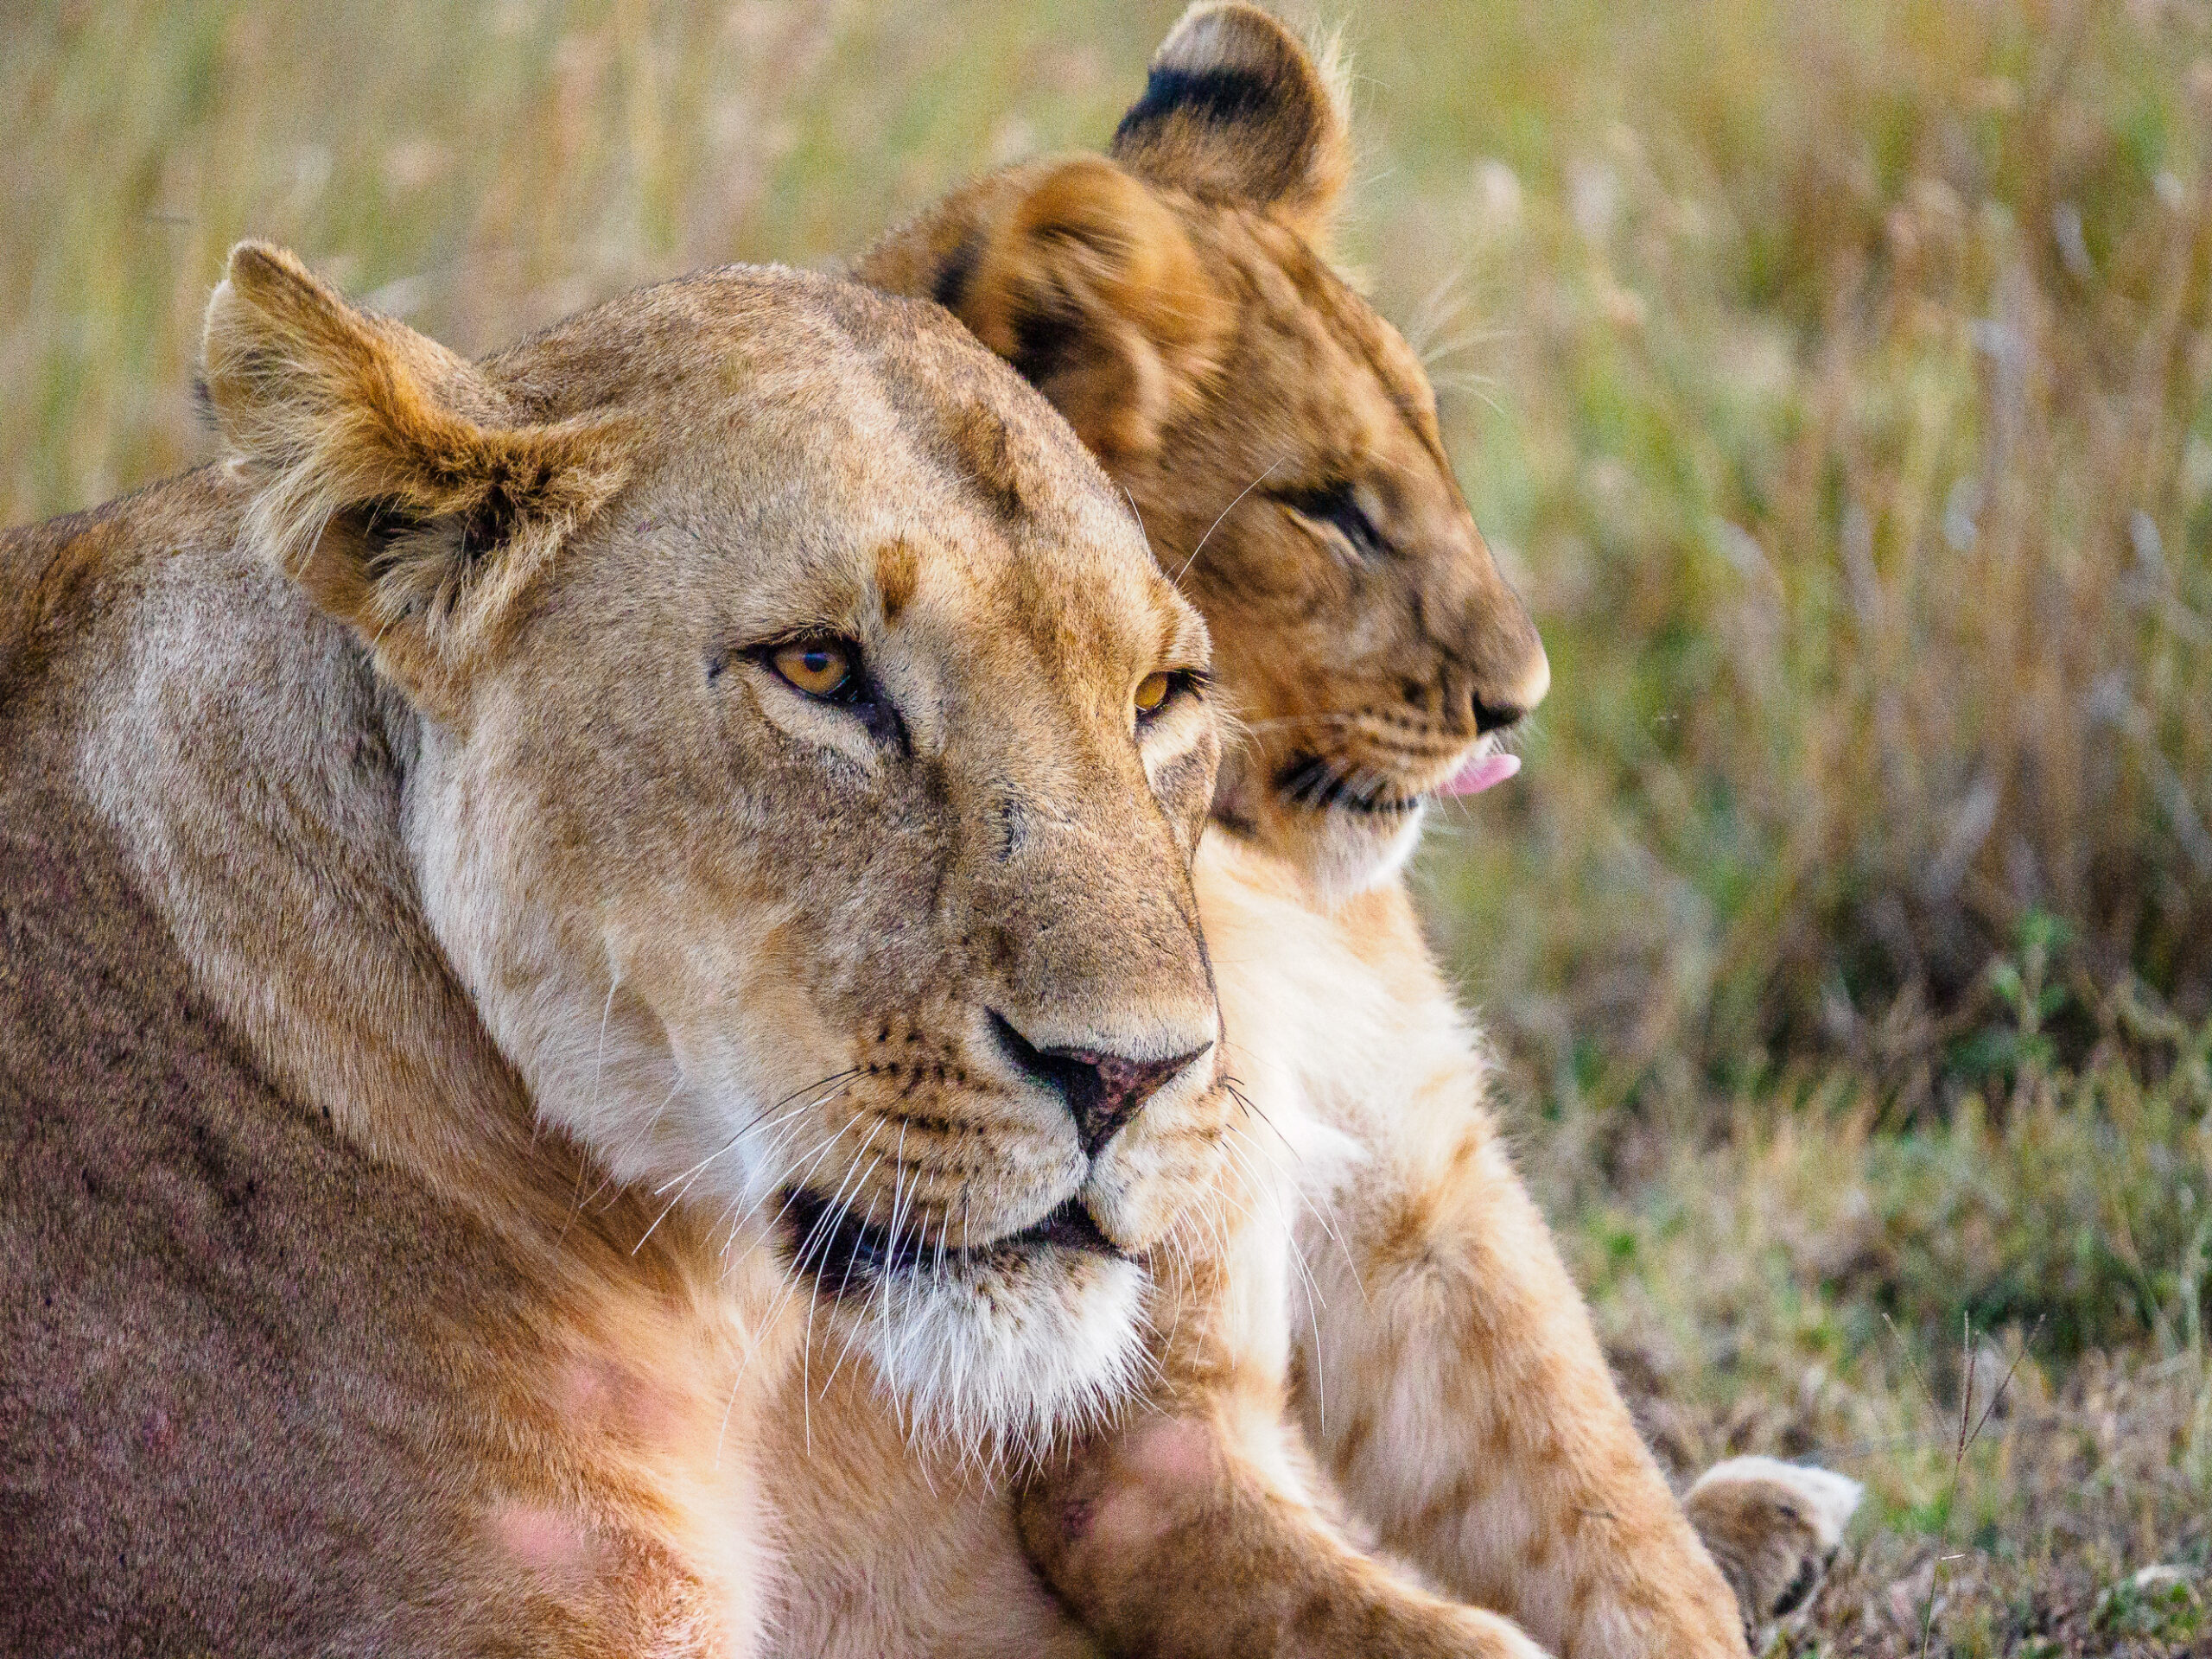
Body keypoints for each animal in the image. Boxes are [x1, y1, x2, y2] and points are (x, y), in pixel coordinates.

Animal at [755, 6, 1860, 1657]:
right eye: (1327, 508)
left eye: (1434, 456)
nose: (1520, 700)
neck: (1271, 904)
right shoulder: (1129, 1451)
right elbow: (1445, 1630)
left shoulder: (1432, 1217)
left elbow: (1613, 1525)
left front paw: (1690, 1567)